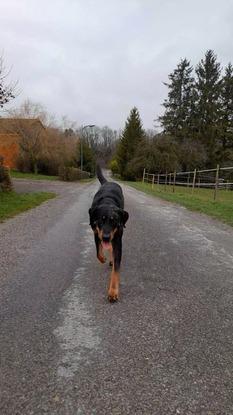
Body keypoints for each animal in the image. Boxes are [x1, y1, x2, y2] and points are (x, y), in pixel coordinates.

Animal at [89, 166, 129, 302]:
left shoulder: (117, 239)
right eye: (101, 220)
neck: (107, 202)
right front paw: (103, 258)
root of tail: (108, 182)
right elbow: (98, 253)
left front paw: (113, 291)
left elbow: (116, 269)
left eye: (114, 221)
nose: (106, 237)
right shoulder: (96, 233)